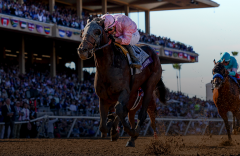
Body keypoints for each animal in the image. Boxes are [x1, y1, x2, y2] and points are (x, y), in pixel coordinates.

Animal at [78, 17, 166, 147]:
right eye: (82, 31)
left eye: (97, 32)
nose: (82, 50)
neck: (108, 66)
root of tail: (153, 52)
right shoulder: (103, 98)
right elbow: (103, 125)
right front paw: (112, 128)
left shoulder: (124, 92)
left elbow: (119, 110)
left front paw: (127, 131)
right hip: (133, 94)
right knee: (128, 114)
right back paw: (129, 137)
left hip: (150, 87)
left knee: (143, 114)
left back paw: (136, 135)